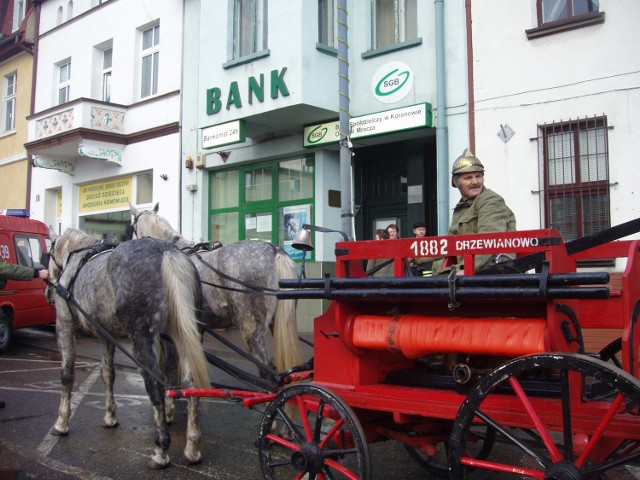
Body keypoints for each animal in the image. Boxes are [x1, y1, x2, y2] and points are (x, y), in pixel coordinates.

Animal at [47, 229, 210, 468]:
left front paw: (61, 422)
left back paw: (161, 450)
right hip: (180, 333)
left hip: (141, 337)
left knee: (155, 383)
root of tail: (166, 252)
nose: (48, 292)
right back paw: (192, 448)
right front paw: (110, 416)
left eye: (49, 252)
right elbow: (108, 374)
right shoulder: (105, 333)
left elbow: (67, 376)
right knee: (190, 384)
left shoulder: (65, 325)